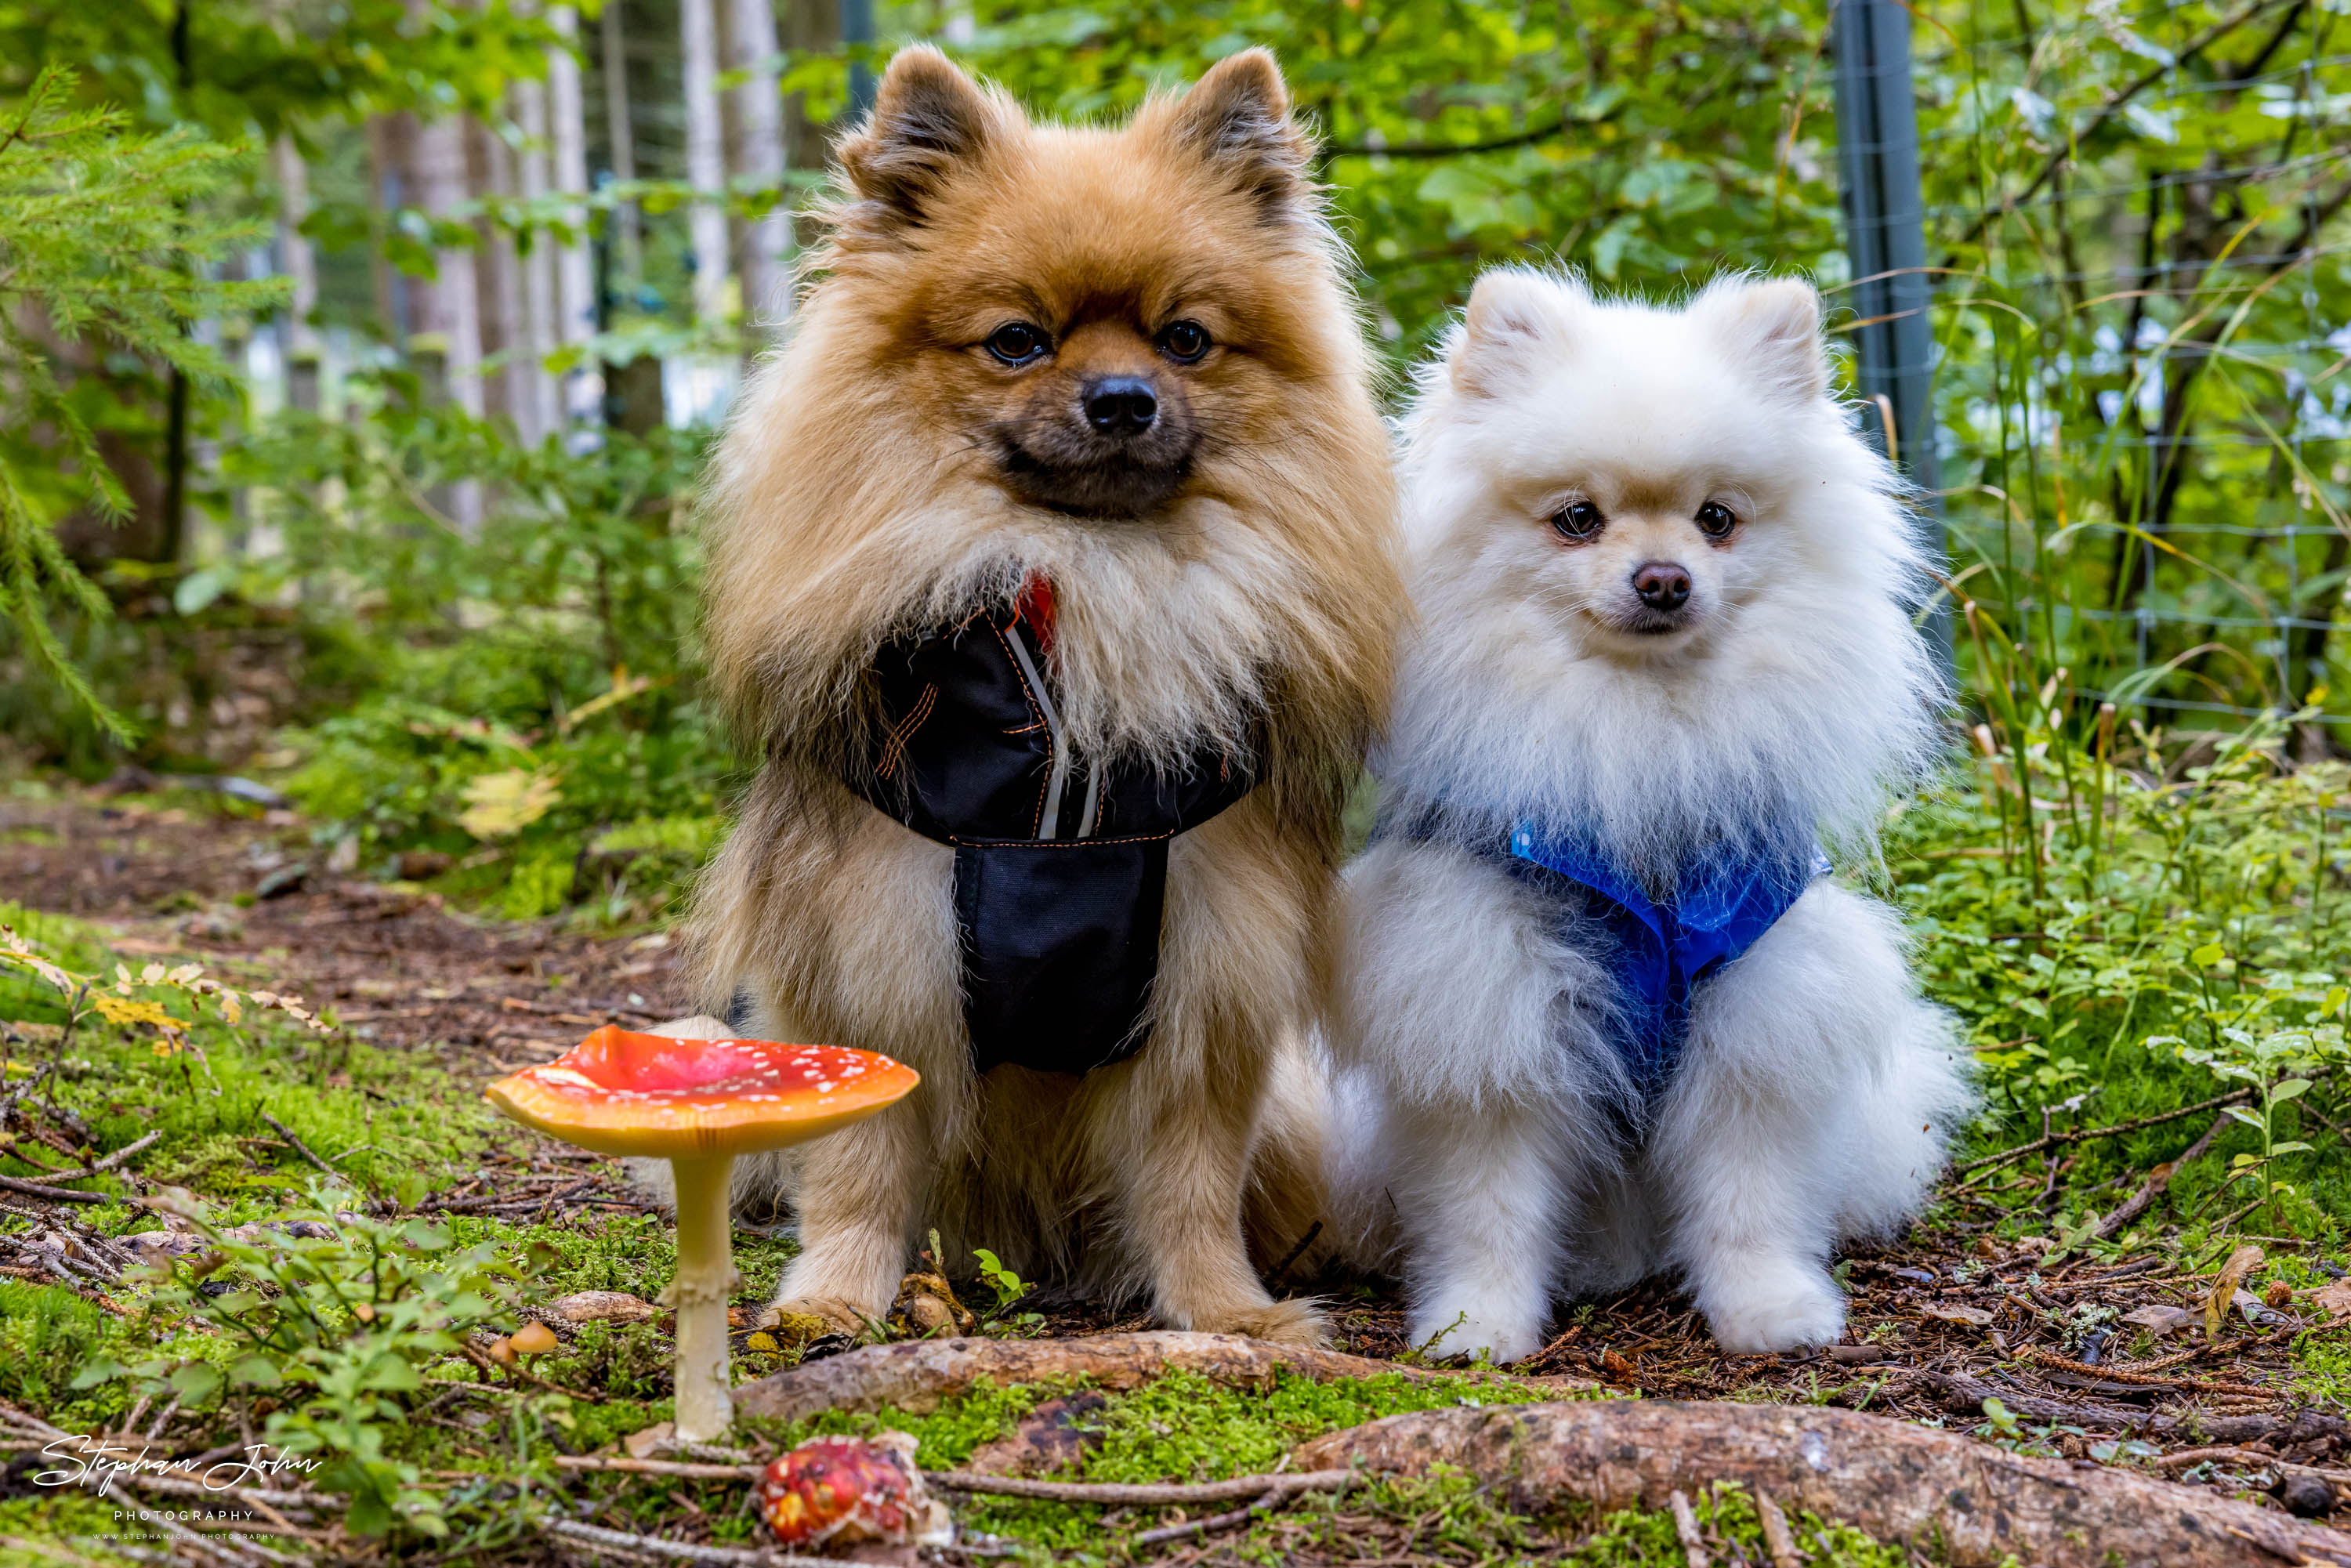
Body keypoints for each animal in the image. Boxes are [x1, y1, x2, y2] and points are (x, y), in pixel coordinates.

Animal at [663, 49, 1392, 1354]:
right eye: (1016, 342)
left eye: (1187, 340)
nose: (1123, 398)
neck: (1090, 581)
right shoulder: (880, 952)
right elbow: (861, 1167)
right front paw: (834, 1298)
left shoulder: (1205, 974)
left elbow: (1190, 1180)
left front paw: (1227, 1314)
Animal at [1335, 270, 1975, 1363]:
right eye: (1577, 519)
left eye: (1717, 518)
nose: (1664, 580)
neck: (1639, 733)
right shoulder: (1487, 999)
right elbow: (1489, 1203)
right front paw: (1476, 1327)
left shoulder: (1754, 999)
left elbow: (1749, 1192)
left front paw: (1771, 1310)